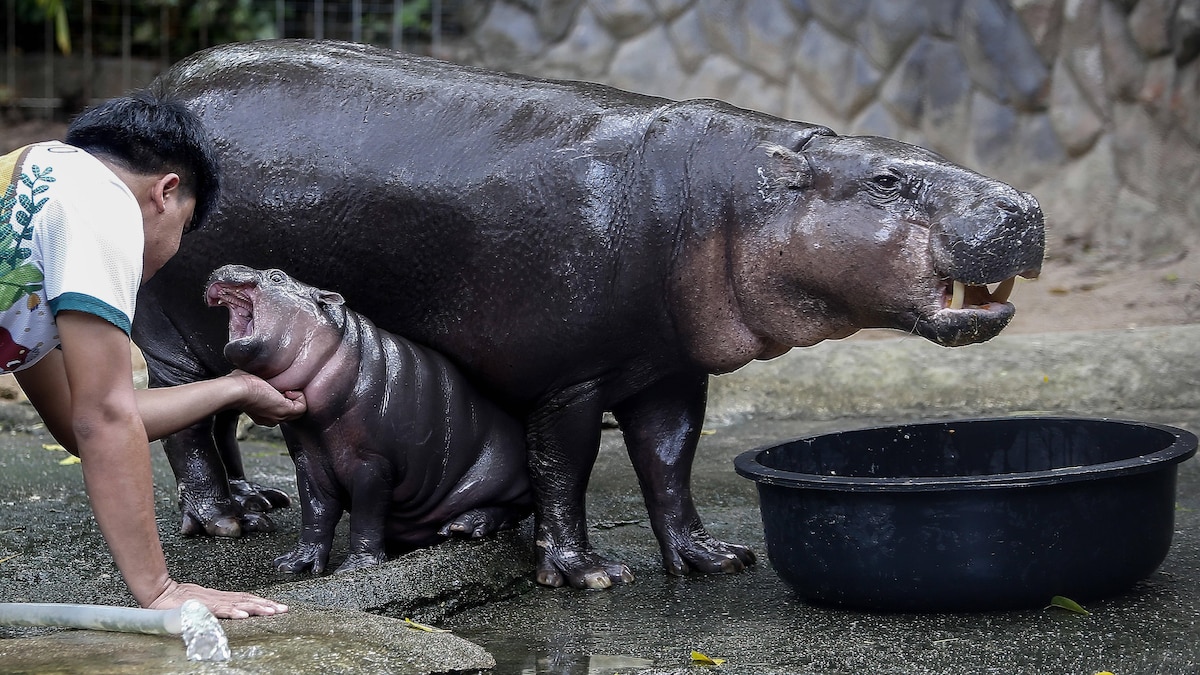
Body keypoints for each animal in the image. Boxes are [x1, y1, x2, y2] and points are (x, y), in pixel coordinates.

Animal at [204, 264, 532, 571]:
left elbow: (366, 514)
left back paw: (465, 526)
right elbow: (315, 512)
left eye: (276, 276)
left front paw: (356, 567)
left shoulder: (372, 463)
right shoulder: (307, 460)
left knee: (513, 509)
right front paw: (294, 563)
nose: (224, 267)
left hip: (500, 475)